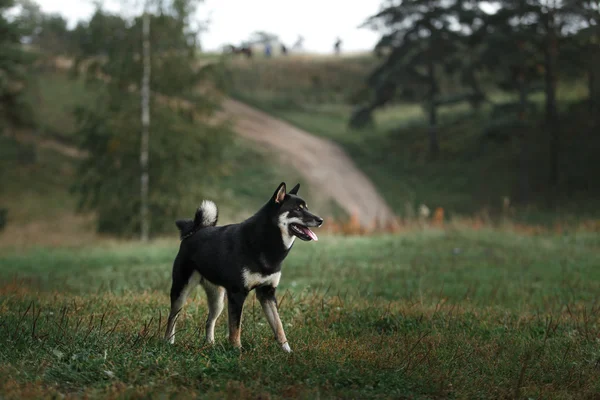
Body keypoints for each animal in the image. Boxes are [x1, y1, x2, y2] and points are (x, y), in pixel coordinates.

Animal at [164, 183, 324, 352]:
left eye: (306, 208)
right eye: (297, 209)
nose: (321, 220)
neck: (265, 242)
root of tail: (195, 231)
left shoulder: (267, 293)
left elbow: (279, 327)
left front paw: (288, 351)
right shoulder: (237, 294)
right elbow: (235, 328)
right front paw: (236, 350)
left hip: (218, 299)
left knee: (209, 320)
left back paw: (210, 344)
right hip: (182, 291)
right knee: (172, 317)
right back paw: (168, 341)